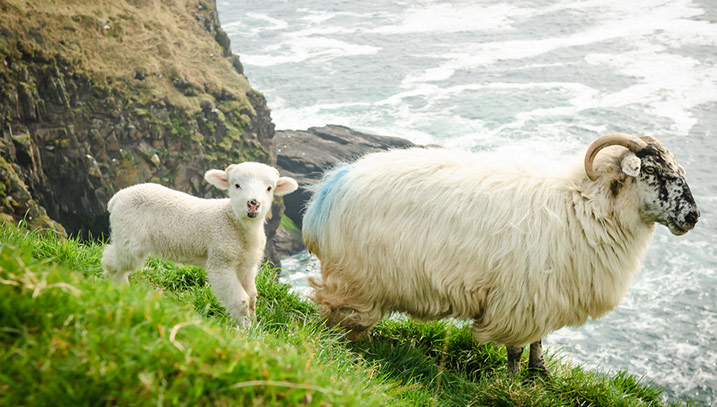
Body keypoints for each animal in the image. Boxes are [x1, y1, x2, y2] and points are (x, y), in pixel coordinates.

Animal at [102, 162, 298, 326]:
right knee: (116, 261)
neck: (234, 223)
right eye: (236, 185)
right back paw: (114, 286)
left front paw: (253, 325)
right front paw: (244, 329)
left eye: (269, 188)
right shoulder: (221, 260)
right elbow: (241, 300)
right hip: (129, 233)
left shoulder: (247, 266)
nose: (253, 204)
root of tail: (117, 197)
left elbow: (251, 298)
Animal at [302, 135, 700, 380]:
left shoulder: (544, 296)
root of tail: (328, 191)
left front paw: (541, 375)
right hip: (354, 277)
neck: (585, 206)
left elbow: (538, 342)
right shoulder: (520, 301)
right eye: (650, 170)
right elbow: (516, 348)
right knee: (335, 312)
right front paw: (512, 381)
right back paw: (349, 349)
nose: (693, 217)